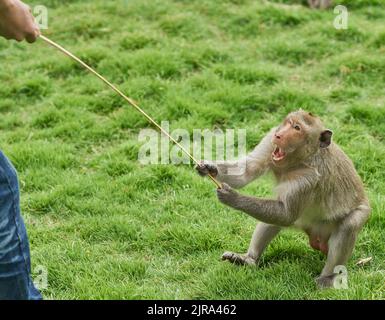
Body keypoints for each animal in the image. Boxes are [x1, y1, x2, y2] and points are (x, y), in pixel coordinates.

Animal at [196, 110, 370, 288]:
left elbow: (286, 214)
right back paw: (249, 259)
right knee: (272, 219)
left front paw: (233, 198)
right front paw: (210, 168)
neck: (300, 159)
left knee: (349, 224)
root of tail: (314, 235)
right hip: (302, 221)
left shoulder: (308, 178)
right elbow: (246, 171)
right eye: (288, 122)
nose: (278, 135)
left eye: (297, 128)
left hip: (359, 214)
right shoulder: (270, 143)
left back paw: (329, 277)